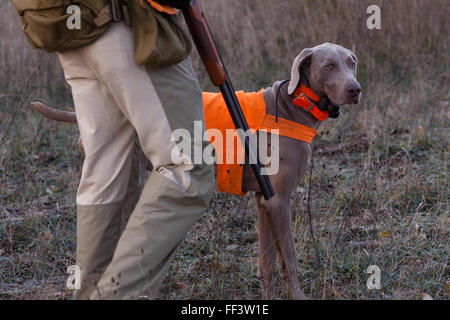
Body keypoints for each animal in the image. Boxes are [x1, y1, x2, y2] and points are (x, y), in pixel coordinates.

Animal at [31, 42, 362, 300]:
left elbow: (267, 263)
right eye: (329, 66)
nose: (355, 89)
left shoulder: (264, 201)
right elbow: (289, 260)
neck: (293, 106)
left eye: (352, 63)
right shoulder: (279, 200)